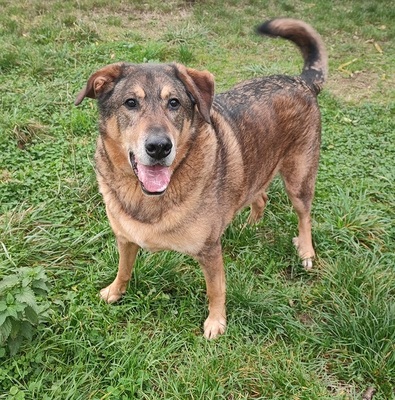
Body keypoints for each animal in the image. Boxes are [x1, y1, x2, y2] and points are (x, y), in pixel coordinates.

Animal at [75, 18, 328, 338]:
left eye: (174, 103)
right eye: (130, 103)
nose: (159, 147)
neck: (147, 197)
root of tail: (302, 80)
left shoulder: (209, 252)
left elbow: (215, 290)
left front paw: (216, 322)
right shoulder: (125, 238)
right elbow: (124, 269)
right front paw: (114, 291)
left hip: (299, 177)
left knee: (304, 215)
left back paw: (306, 250)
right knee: (260, 196)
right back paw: (249, 225)